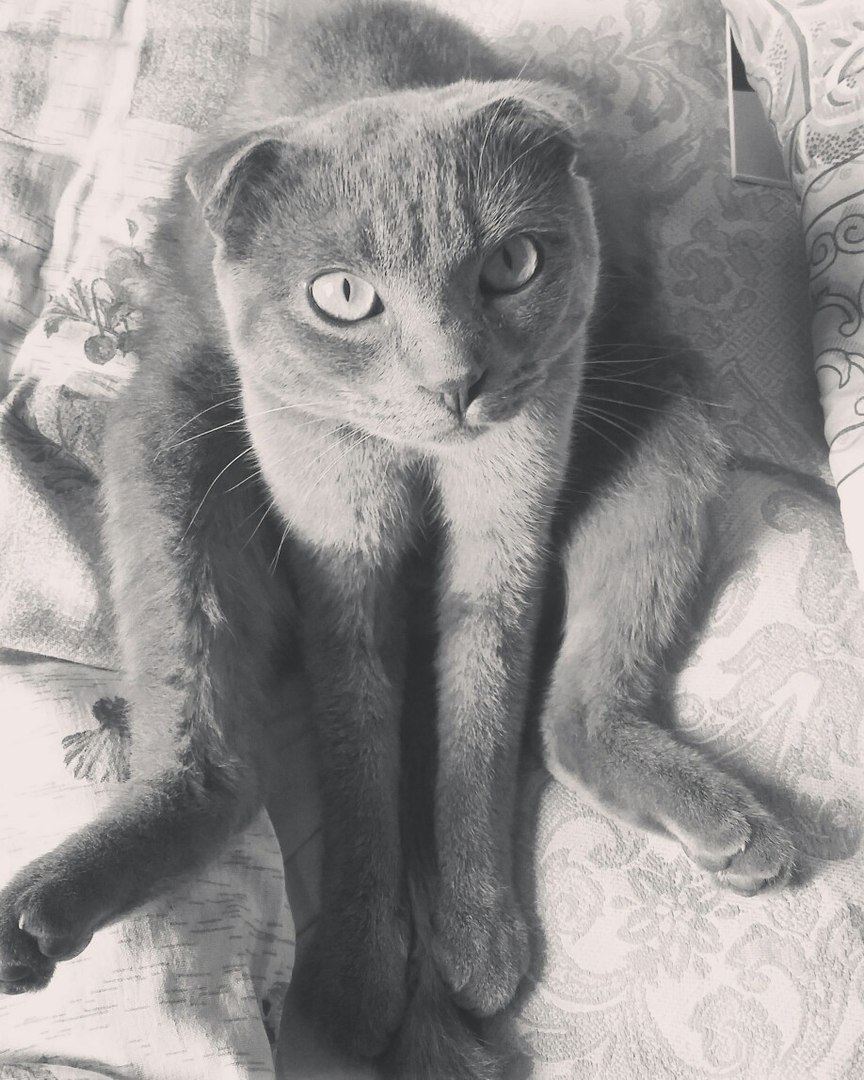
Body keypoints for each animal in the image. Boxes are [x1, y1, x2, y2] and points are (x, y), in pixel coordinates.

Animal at [0, 2, 795, 1077]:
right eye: (341, 295)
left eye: (512, 263)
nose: (457, 380)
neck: (420, 469)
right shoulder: (339, 560)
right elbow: (360, 749)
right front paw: (363, 973)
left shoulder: (504, 541)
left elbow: (479, 730)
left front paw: (476, 940)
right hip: (172, 437)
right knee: (216, 765)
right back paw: (41, 914)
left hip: (654, 391)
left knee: (571, 717)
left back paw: (732, 829)